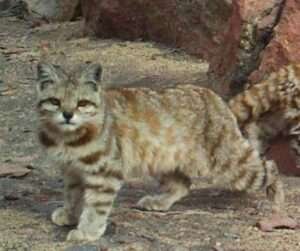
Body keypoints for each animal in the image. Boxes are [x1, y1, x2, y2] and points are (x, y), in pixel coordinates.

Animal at [37, 62, 284, 241]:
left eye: (82, 103)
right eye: (55, 101)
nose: (67, 115)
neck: (68, 138)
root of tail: (217, 99)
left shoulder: (104, 173)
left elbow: (96, 205)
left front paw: (87, 231)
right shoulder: (72, 171)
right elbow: (73, 196)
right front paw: (70, 214)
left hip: (230, 165)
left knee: (270, 166)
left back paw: (277, 203)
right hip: (162, 160)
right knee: (182, 185)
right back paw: (159, 202)